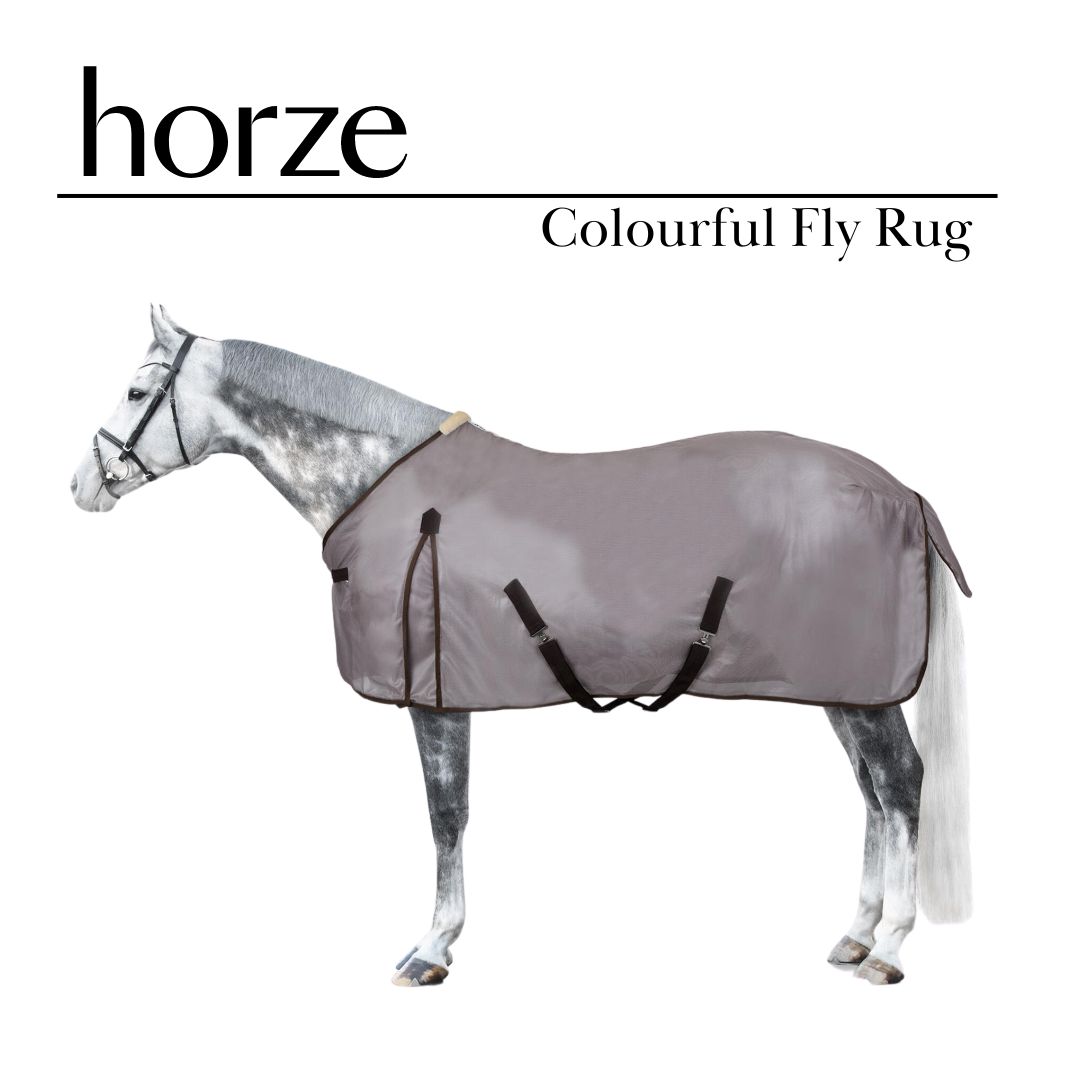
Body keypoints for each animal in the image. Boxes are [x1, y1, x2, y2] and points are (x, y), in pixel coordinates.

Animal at [70, 305, 972, 987]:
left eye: (137, 388)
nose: (81, 485)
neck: (386, 486)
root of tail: (903, 491)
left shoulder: (435, 701)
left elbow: (445, 814)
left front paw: (432, 948)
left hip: (863, 689)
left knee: (900, 782)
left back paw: (890, 946)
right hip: (840, 686)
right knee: (871, 791)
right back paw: (855, 935)